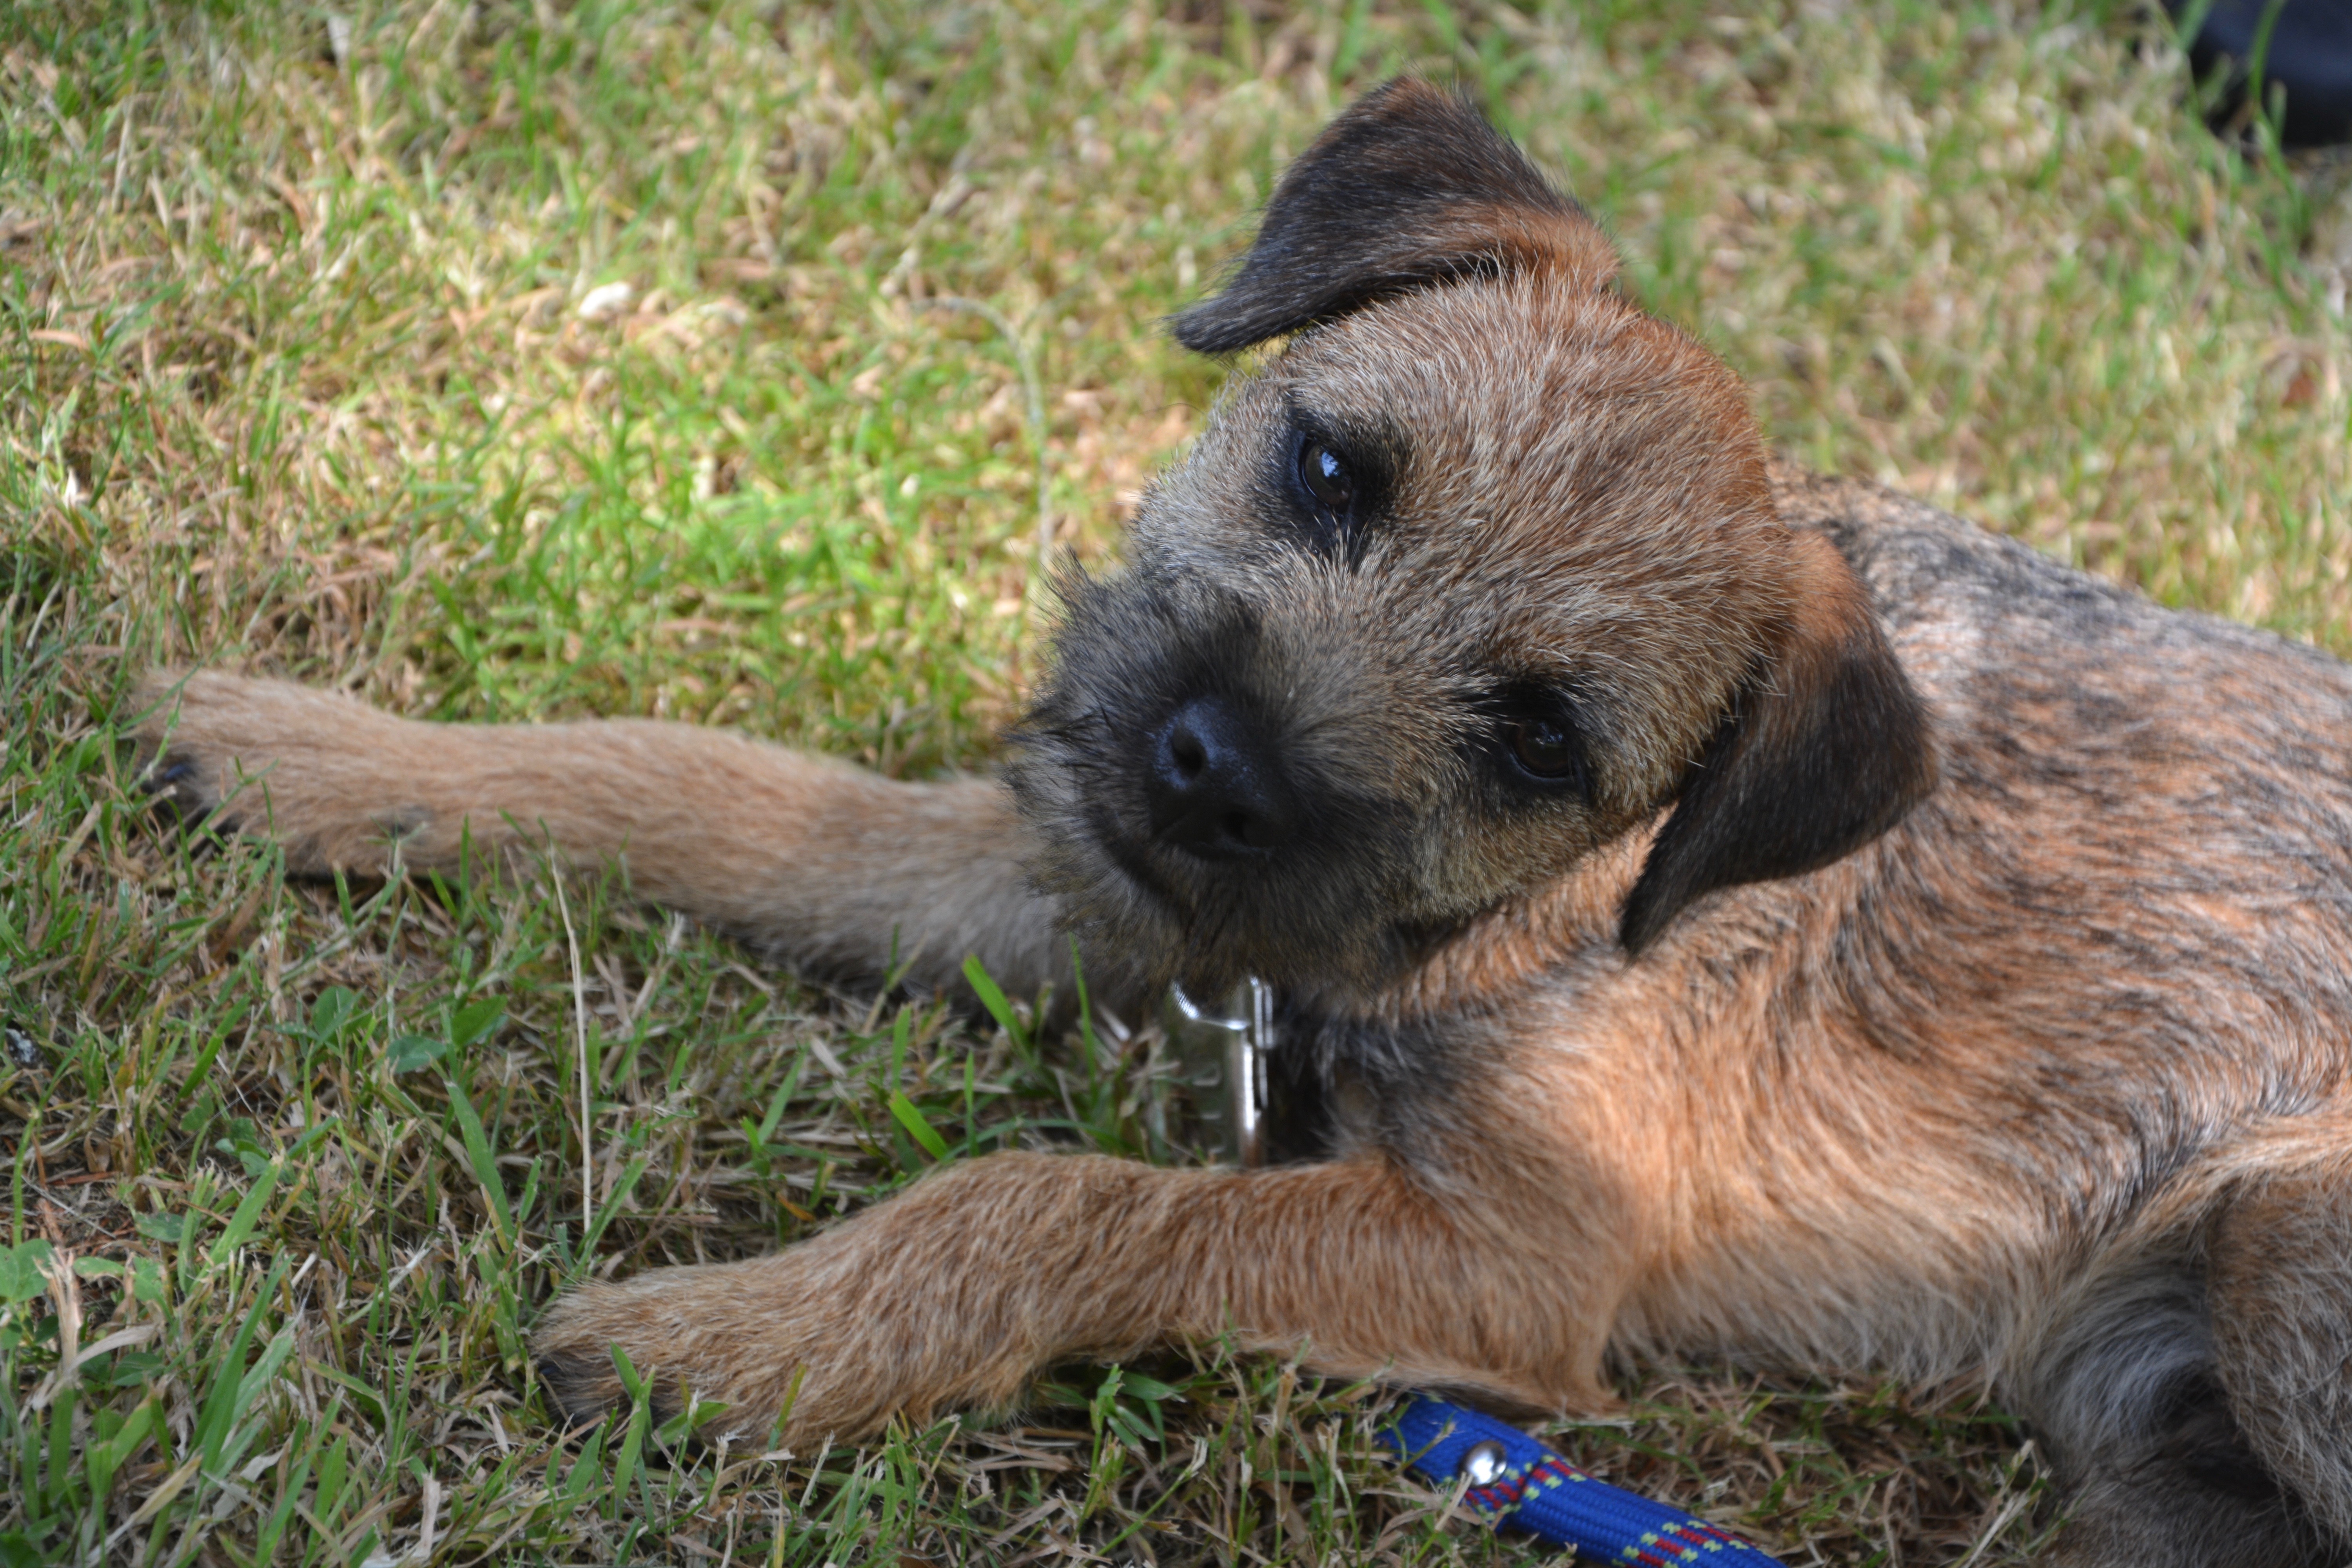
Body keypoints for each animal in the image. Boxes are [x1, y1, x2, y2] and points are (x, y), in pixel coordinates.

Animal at [138, 80, 2352, 1561]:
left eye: (1541, 735)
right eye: (1330, 466)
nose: (1214, 760)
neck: (1550, 914)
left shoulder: (1512, 1262)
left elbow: (1051, 1198)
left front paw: (741, 1336)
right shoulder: (1100, 873)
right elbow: (723, 785)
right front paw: (325, 754)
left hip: (2281, 1237)